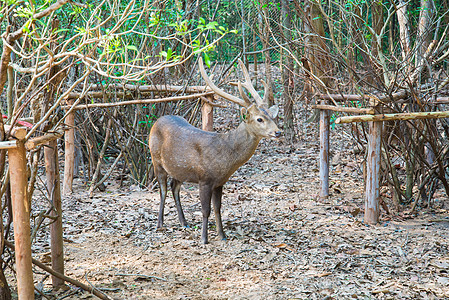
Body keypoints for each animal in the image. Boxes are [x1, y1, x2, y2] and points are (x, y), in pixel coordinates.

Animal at [149, 57, 280, 245]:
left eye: (272, 115)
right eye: (259, 119)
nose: (278, 132)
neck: (225, 158)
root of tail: (156, 121)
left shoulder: (220, 182)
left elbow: (218, 208)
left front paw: (222, 235)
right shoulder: (204, 179)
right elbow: (206, 210)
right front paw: (204, 239)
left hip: (179, 168)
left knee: (174, 187)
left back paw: (184, 222)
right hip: (156, 159)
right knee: (163, 189)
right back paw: (160, 224)